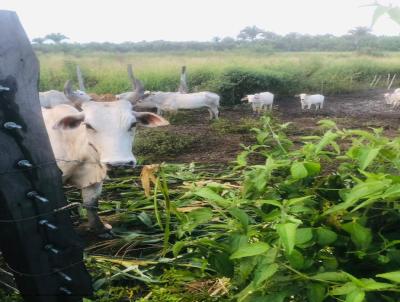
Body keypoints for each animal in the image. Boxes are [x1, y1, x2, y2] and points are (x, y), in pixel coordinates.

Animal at [42, 82, 169, 238]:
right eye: (88, 125)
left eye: (133, 124)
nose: (119, 163)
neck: (75, 145)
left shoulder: (94, 179)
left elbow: (91, 204)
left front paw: (100, 229)